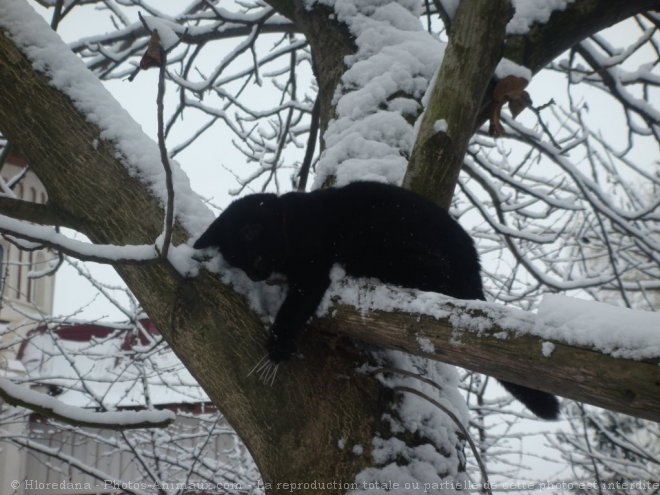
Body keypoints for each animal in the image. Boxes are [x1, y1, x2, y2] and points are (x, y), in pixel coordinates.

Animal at [193, 180, 560, 420]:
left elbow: (293, 308)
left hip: (388, 242)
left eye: (254, 257)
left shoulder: (312, 271)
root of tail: (473, 265)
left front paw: (277, 347)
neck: (288, 222)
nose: (257, 275)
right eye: (239, 264)